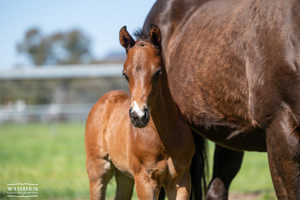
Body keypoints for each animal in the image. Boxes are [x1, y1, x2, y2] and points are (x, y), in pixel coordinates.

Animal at [85, 25, 196, 200]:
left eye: (158, 71)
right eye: (125, 74)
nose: (138, 116)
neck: (164, 139)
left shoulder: (181, 180)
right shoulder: (145, 180)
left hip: (124, 175)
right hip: (98, 170)